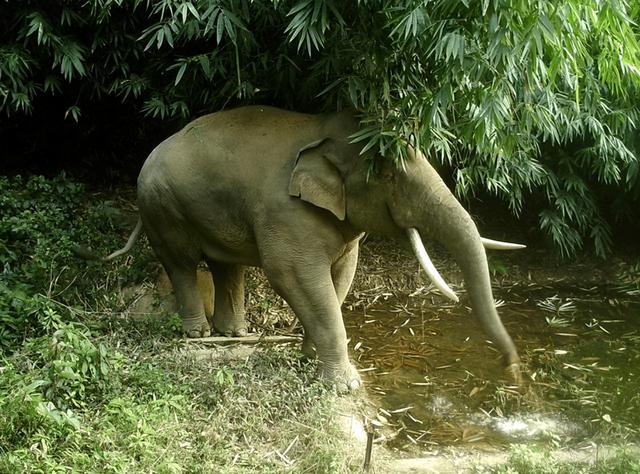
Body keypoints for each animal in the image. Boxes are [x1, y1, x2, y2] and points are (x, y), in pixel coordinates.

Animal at [92, 106, 528, 392]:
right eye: (388, 175)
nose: (512, 367)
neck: (325, 135)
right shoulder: (285, 213)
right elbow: (293, 274)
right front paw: (345, 387)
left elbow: (342, 275)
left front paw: (308, 359)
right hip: (161, 207)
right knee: (182, 262)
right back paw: (199, 334)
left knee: (225, 265)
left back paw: (236, 332)